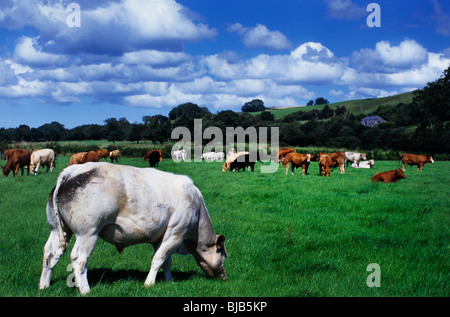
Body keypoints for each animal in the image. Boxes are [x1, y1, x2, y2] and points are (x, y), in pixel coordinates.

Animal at [38, 163, 227, 294]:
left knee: (50, 254)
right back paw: (85, 290)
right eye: (224, 255)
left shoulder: (160, 237)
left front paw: (169, 280)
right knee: (79, 260)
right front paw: (149, 283)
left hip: (57, 229)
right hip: (87, 233)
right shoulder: (176, 233)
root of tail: (73, 170)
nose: (224, 276)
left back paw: (44, 286)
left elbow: (166, 261)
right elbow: (158, 259)